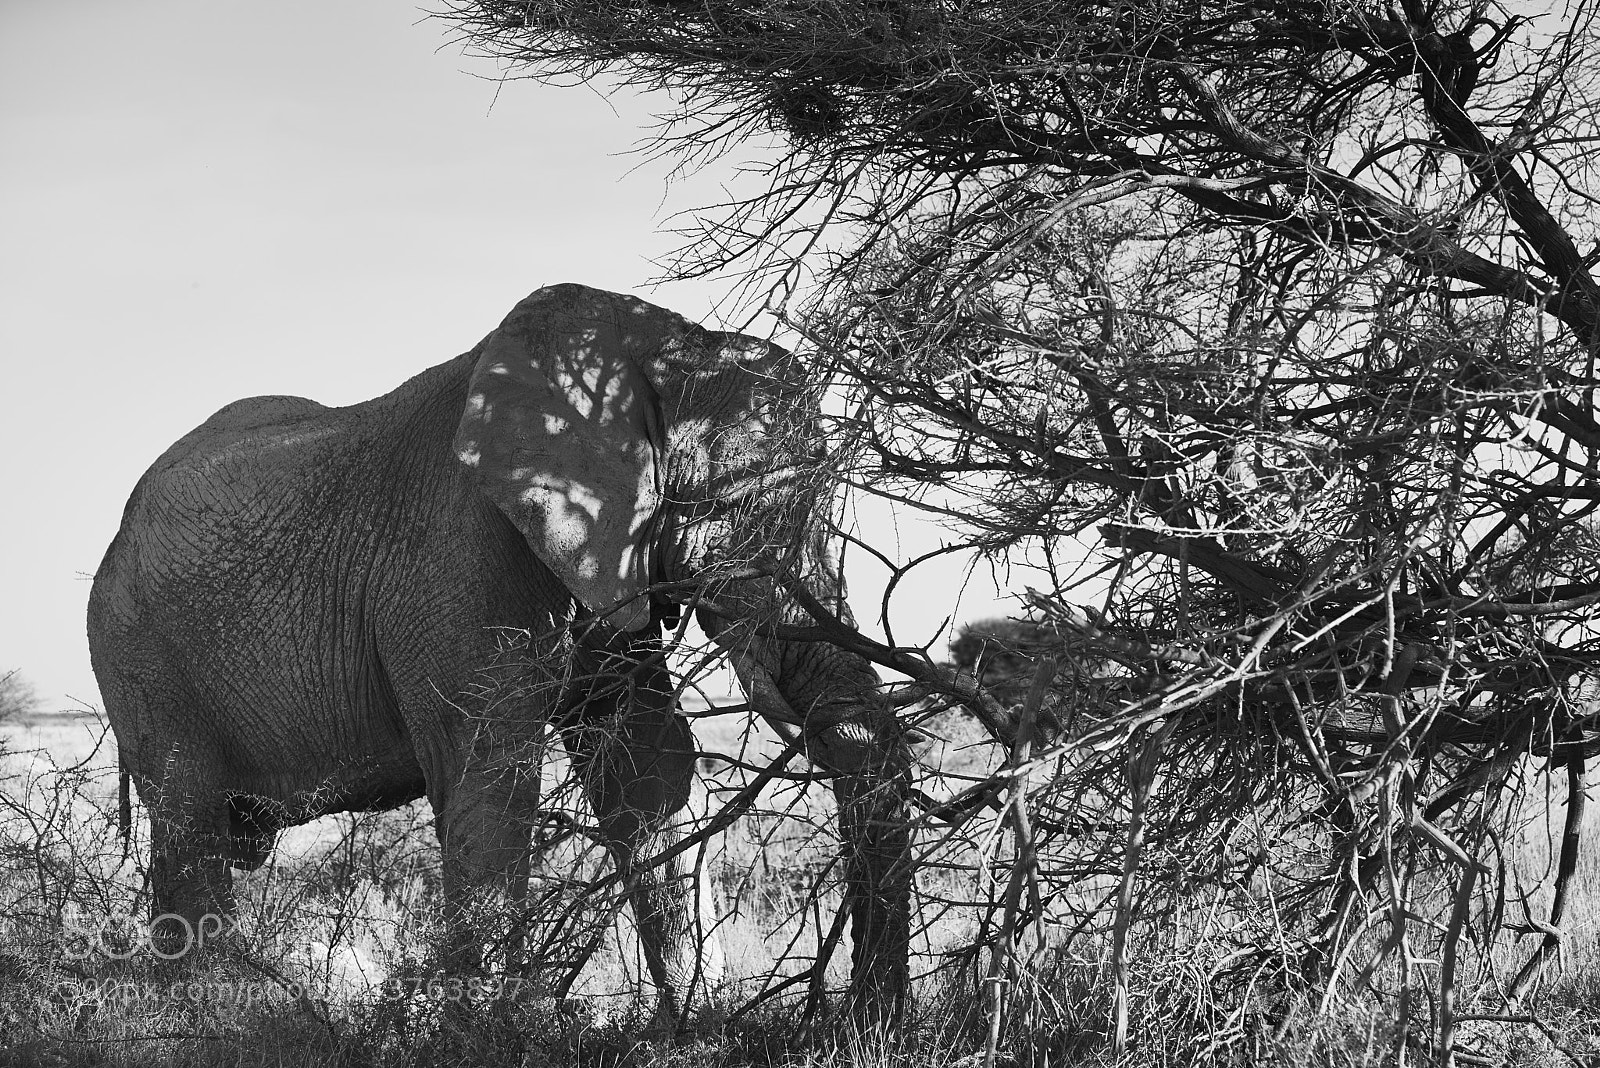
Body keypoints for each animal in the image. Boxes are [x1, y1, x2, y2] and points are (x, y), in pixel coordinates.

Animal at [87, 283, 911, 1028]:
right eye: (735, 510)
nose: (865, 1023)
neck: (645, 346)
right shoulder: (455, 553)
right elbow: (491, 774)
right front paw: (483, 1032)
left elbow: (645, 766)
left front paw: (699, 1028)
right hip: (137, 654)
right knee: (190, 819)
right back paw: (207, 1018)